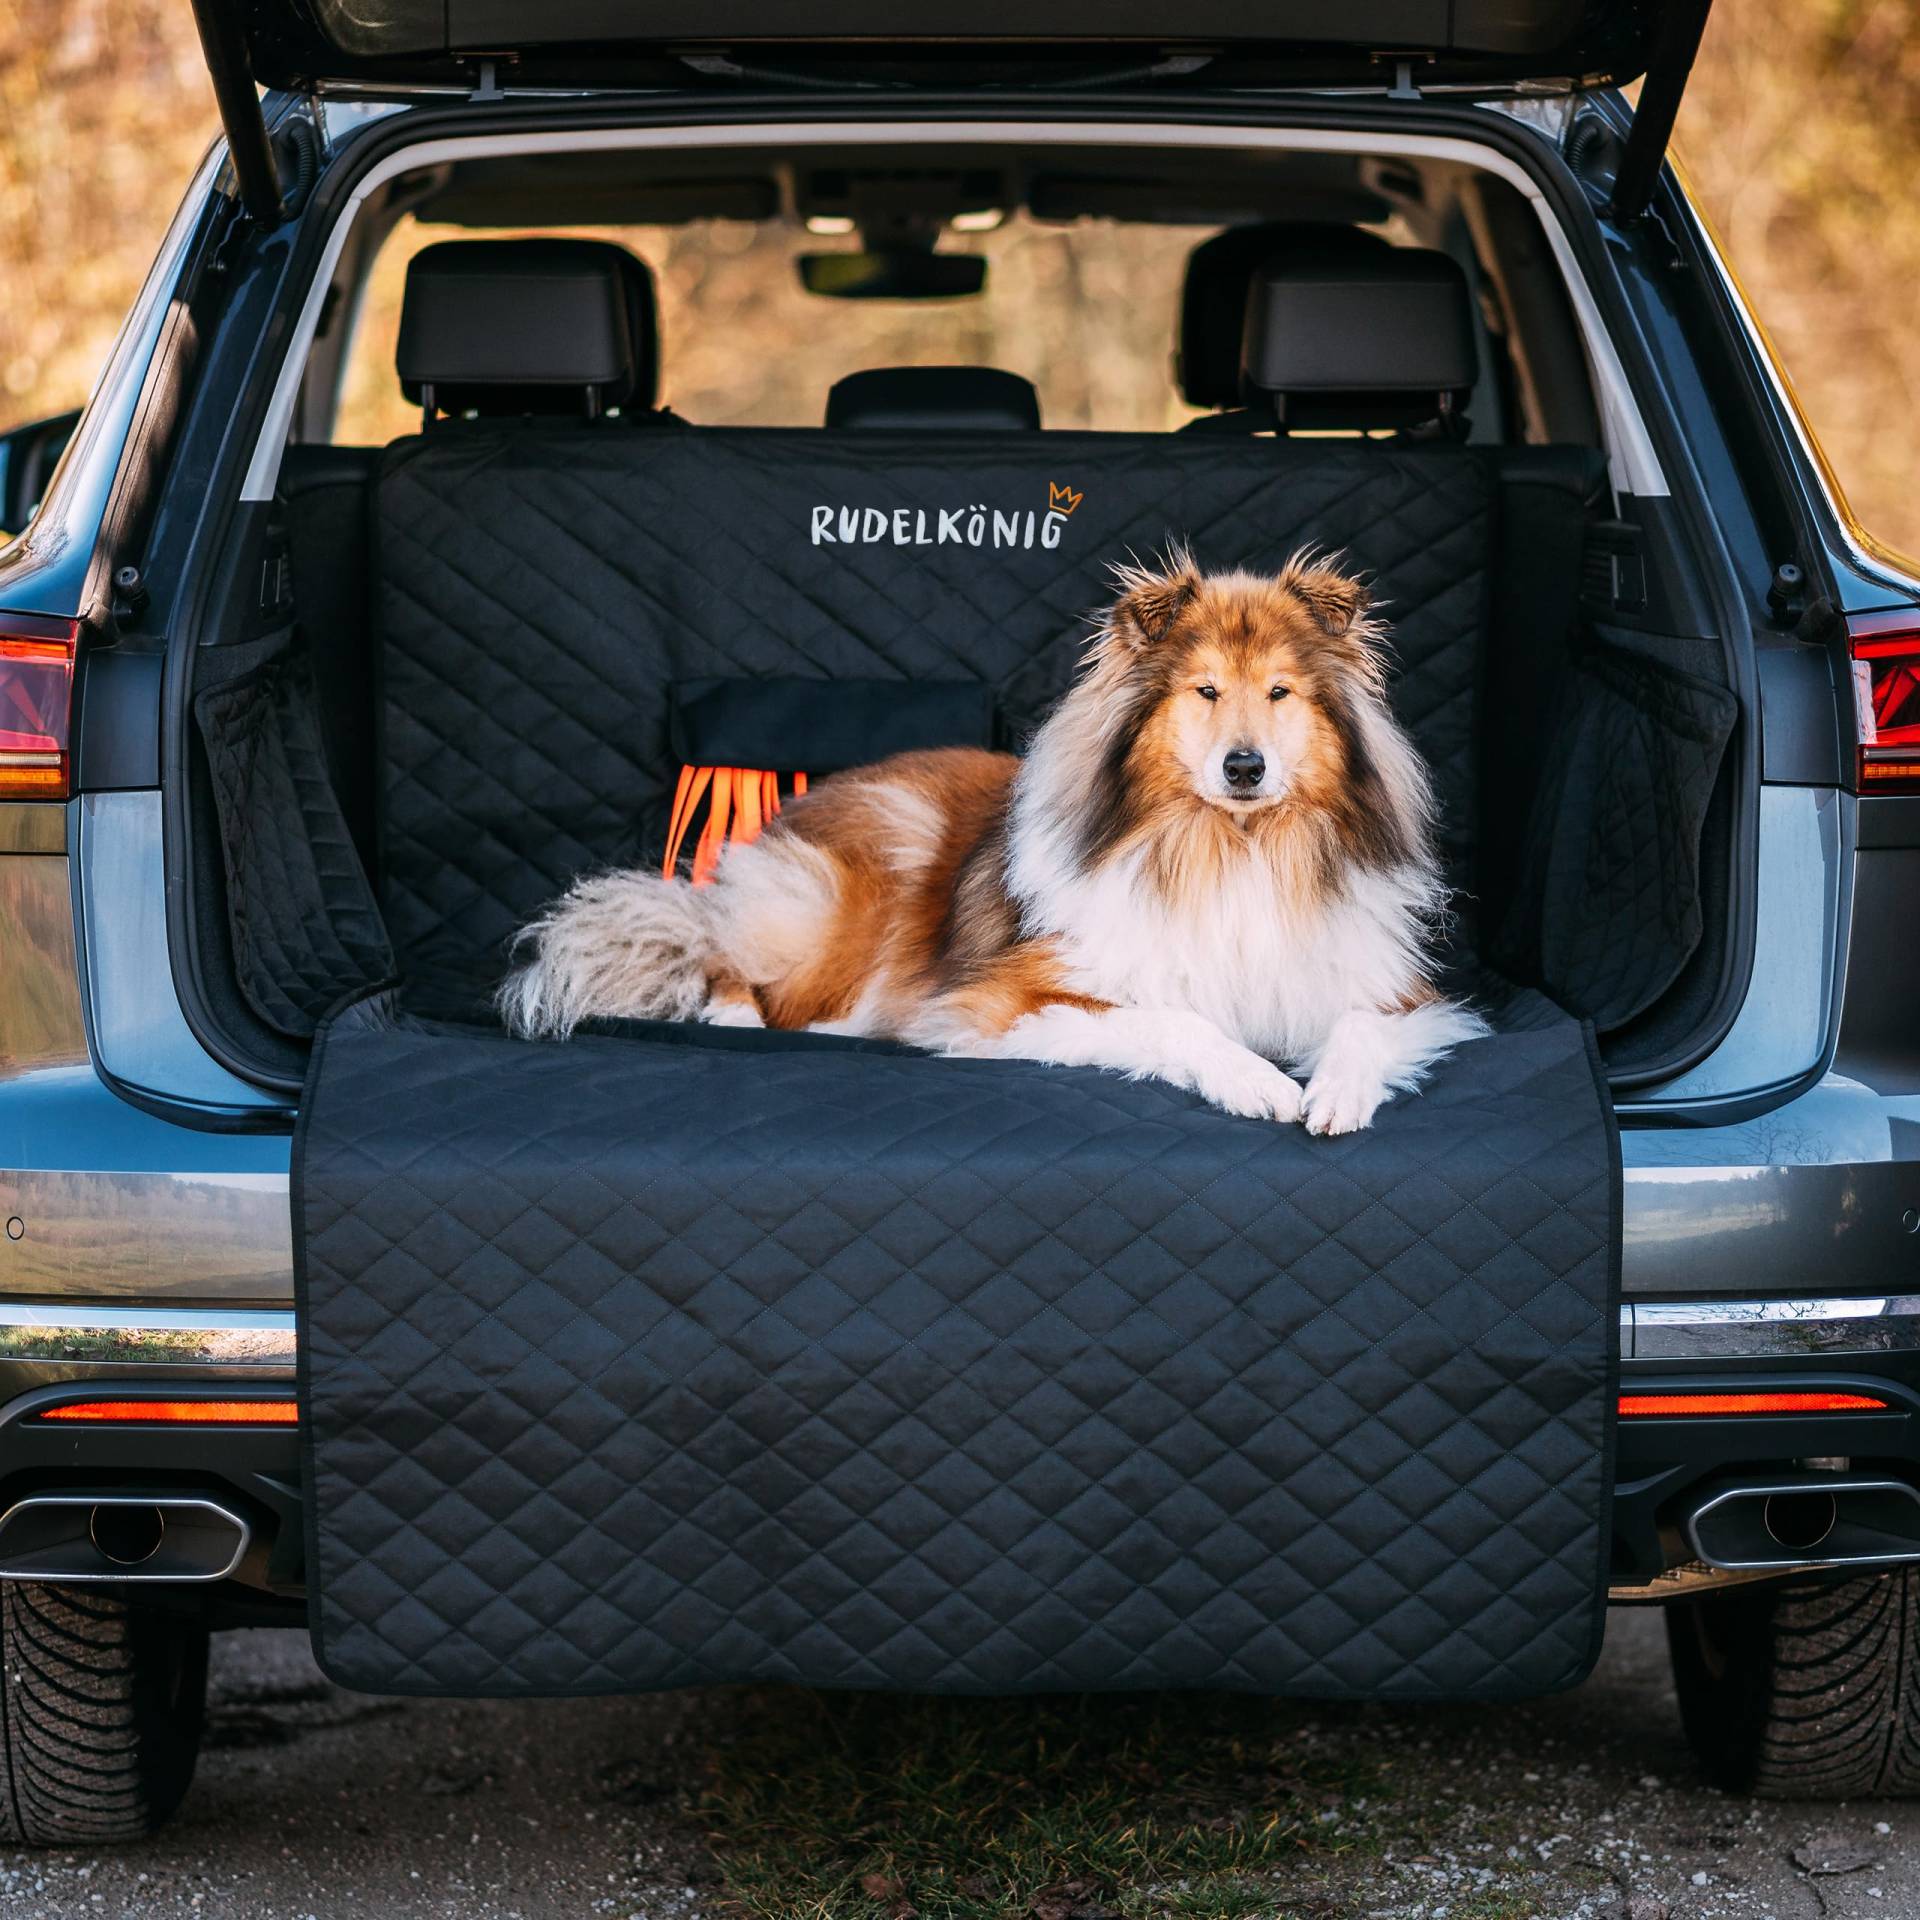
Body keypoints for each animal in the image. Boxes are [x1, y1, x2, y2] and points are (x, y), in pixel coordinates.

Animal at [499, 549, 1482, 1128]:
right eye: (1204, 691)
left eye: (1280, 693)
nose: (1245, 768)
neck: (1229, 846)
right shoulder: (1011, 1001)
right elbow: (1176, 1020)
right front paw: (1263, 1082)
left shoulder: (1390, 991)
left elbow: (1361, 1031)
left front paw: (1336, 1093)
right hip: (847, 896)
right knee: (721, 949)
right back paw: (737, 1011)